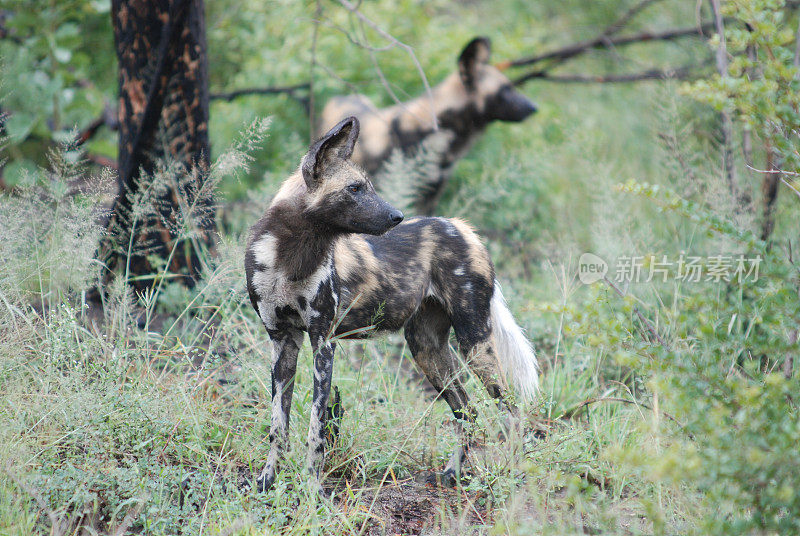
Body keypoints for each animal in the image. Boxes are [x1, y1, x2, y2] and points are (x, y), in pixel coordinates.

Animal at [247, 117, 540, 494]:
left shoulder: (322, 343)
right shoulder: (282, 341)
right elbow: (277, 426)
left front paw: (312, 488)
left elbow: (316, 428)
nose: (397, 216)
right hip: (427, 350)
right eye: (355, 188)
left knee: (511, 409)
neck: (290, 256)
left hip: (474, 343)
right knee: (467, 411)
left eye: (366, 186)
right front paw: (267, 481)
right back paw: (453, 473)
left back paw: (513, 477)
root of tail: (460, 227)